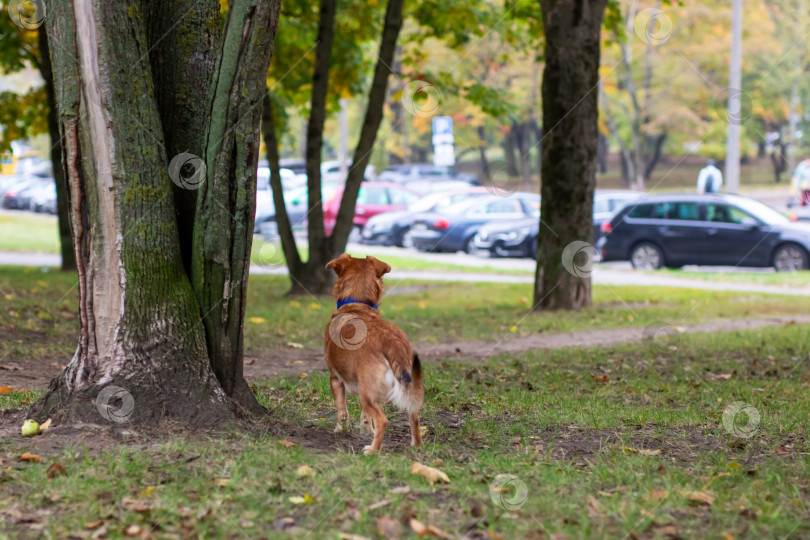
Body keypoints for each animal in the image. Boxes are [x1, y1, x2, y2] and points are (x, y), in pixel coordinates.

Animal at [322, 255, 422, 454]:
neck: (357, 303)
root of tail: (391, 341)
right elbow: (366, 416)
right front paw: (366, 429)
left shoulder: (335, 379)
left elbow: (342, 410)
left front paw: (340, 430)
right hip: (398, 387)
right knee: (414, 415)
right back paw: (416, 445)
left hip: (365, 392)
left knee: (383, 420)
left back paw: (373, 450)